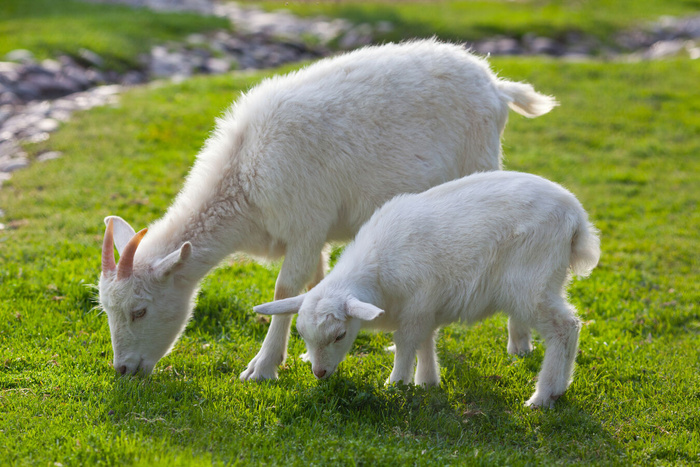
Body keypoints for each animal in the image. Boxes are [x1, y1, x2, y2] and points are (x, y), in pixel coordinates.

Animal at [100, 38, 556, 378]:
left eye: (139, 311)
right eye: (106, 310)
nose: (123, 370)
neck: (244, 174)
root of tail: (497, 87)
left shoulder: (304, 224)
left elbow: (285, 288)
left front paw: (262, 367)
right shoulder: (314, 234)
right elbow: (314, 283)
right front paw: (305, 351)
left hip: (481, 164)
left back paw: (519, 342)